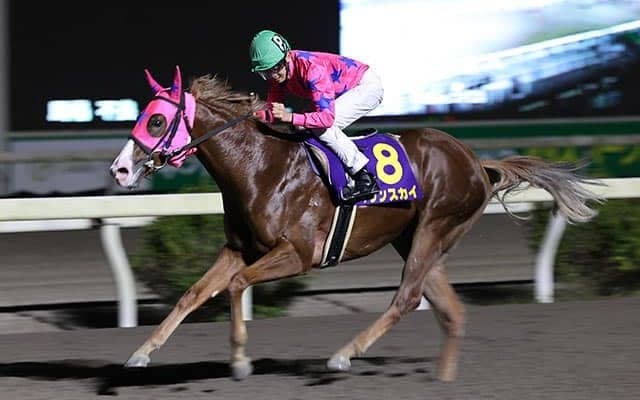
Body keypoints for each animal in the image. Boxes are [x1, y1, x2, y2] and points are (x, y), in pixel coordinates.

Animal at [110, 65, 603, 382]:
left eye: (157, 120)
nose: (119, 170)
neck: (261, 166)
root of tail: (477, 162)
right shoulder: (239, 249)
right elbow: (193, 294)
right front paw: (139, 354)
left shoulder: (298, 254)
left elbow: (236, 286)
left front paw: (240, 362)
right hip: (417, 238)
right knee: (449, 308)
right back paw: (442, 379)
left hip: (434, 228)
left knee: (407, 298)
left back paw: (344, 356)